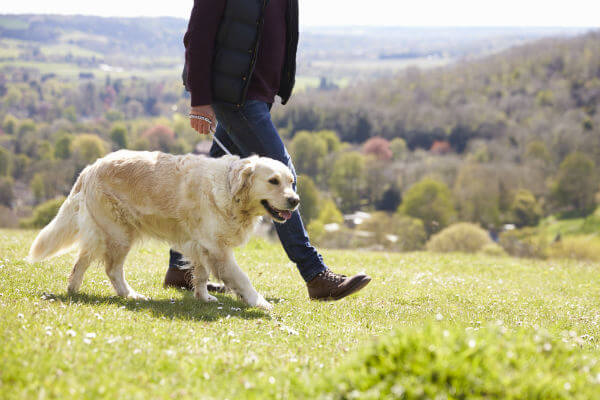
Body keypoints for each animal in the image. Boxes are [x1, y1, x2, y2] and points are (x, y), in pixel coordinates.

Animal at [28, 150, 300, 310]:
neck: (229, 188)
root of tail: (90, 168)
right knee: (111, 269)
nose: (295, 201)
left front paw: (203, 297)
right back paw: (129, 294)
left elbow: (201, 275)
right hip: (119, 234)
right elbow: (242, 278)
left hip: (106, 233)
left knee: (81, 261)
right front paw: (259, 302)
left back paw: (74, 290)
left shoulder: (201, 245)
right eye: (273, 181)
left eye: (291, 182)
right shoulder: (217, 248)